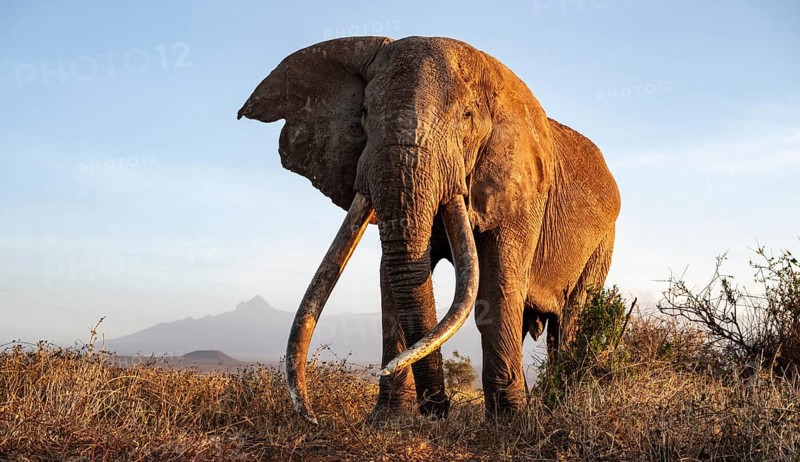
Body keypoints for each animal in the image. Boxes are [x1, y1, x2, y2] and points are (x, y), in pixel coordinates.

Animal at [238, 36, 620, 423]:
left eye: (466, 118)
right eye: (364, 114)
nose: (438, 410)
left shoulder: (523, 193)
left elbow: (496, 288)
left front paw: (509, 422)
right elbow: (392, 281)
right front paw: (389, 419)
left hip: (603, 243)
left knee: (571, 320)